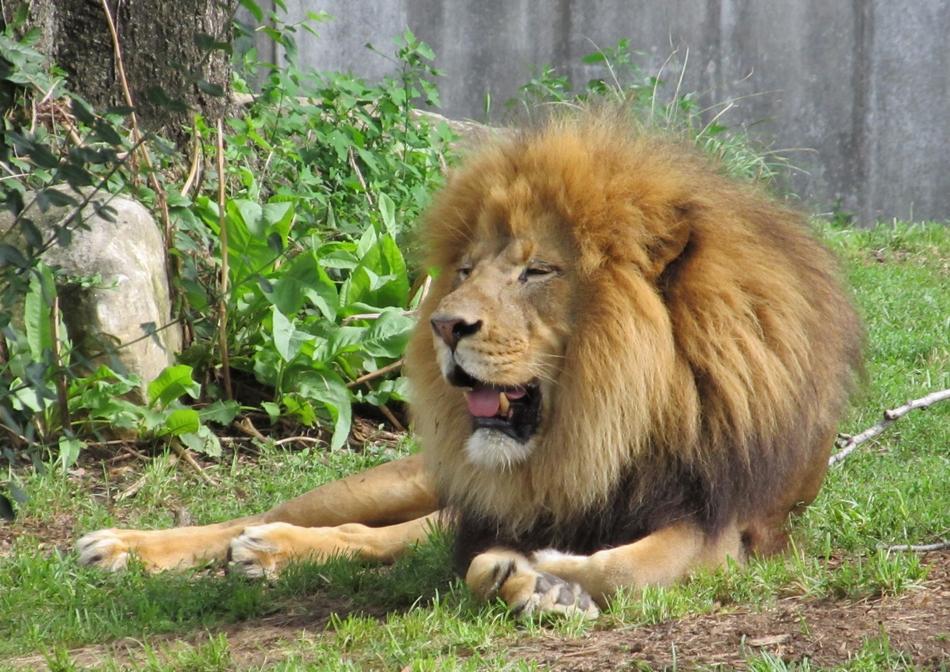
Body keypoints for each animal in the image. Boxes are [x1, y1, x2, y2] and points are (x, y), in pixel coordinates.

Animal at [78, 111, 868, 620]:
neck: (606, 421)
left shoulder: (723, 519)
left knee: (378, 541)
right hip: (403, 479)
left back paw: (269, 554)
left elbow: (628, 564)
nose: (443, 325)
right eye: (464, 269)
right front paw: (536, 578)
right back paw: (135, 545)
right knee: (276, 515)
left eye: (537, 271)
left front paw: (548, 583)